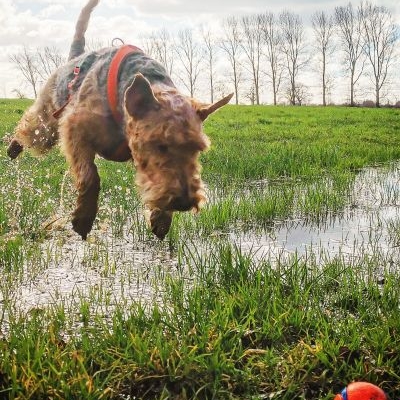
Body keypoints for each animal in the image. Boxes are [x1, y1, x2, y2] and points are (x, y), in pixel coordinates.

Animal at [7, 0, 234, 238]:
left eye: (197, 149)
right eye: (160, 145)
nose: (183, 202)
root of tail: (75, 57)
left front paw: (161, 219)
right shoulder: (75, 128)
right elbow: (90, 176)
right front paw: (83, 219)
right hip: (47, 126)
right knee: (28, 128)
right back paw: (13, 148)